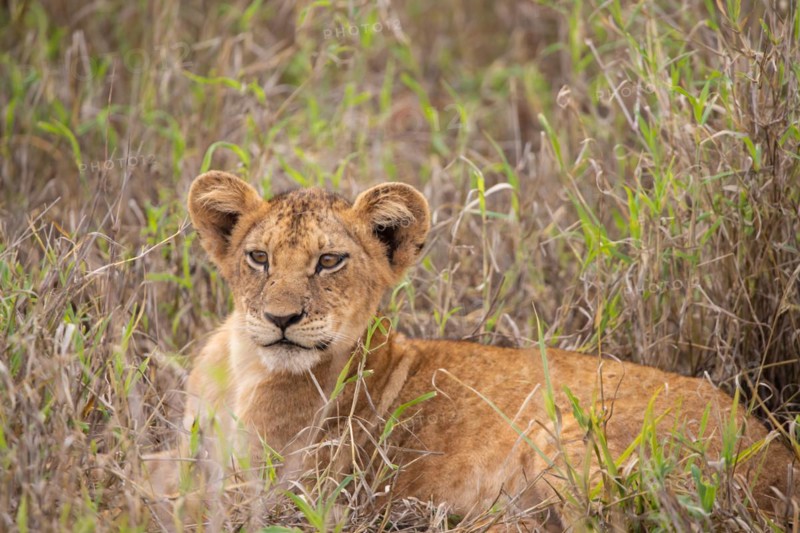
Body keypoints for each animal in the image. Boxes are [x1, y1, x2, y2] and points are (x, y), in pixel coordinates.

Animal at [146, 170, 798, 529]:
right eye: (258, 258)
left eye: (329, 261)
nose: (281, 318)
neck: (244, 368)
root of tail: (778, 461)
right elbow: (154, 472)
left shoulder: (278, 492)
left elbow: (176, 501)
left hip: (564, 432)